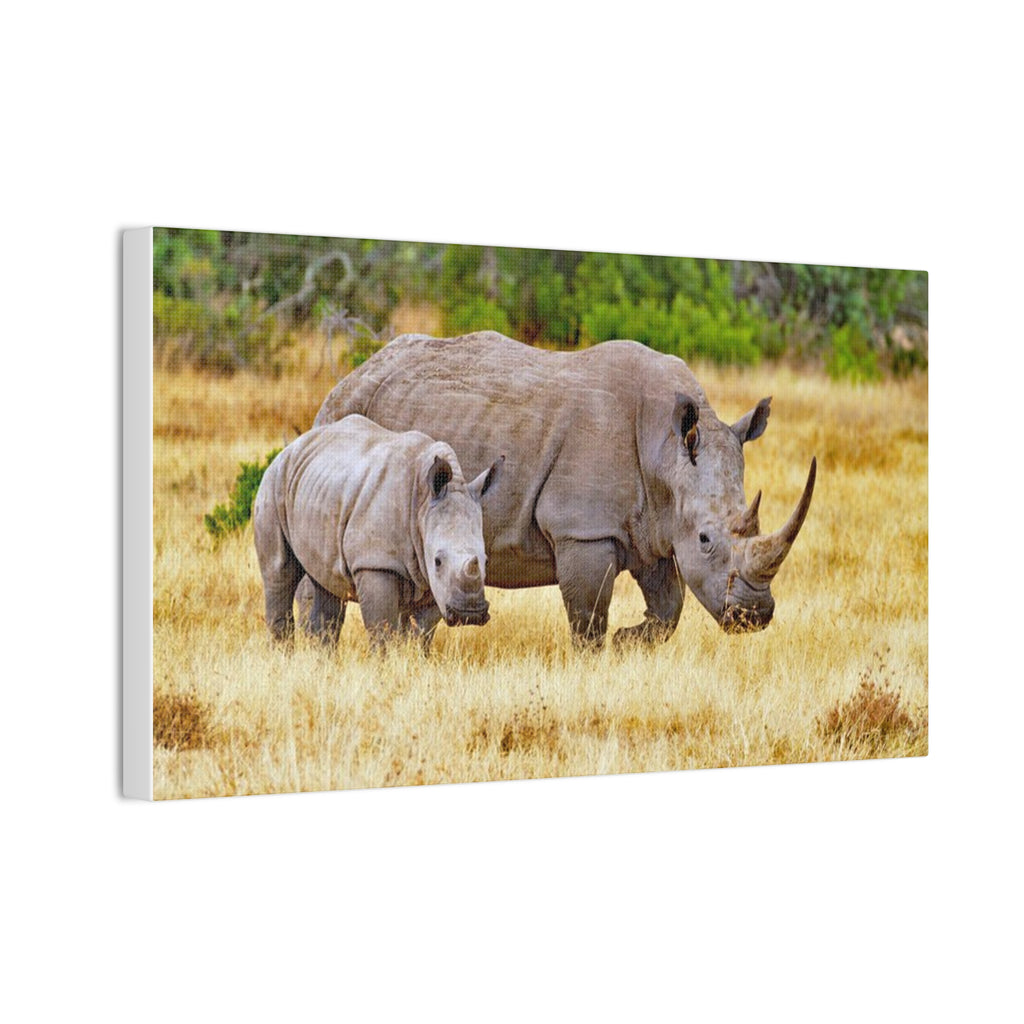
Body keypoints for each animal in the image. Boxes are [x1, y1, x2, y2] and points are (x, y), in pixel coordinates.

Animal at [253, 414, 503, 650]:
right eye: (438, 561)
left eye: (485, 560)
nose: (469, 615)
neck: (422, 504)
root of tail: (291, 447)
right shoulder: (375, 562)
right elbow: (382, 629)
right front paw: (383, 661)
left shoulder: (434, 580)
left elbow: (422, 632)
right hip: (273, 483)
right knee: (279, 572)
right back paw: (282, 654)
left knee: (326, 583)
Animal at [312, 331, 816, 649]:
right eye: (707, 539)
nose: (754, 616)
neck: (666, 451)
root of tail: (351, 375)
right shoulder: (583, 529)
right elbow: (589, 617)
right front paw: (600, 656)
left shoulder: (651, 525)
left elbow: (669, 607)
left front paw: (630, 641)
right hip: (343, 413)